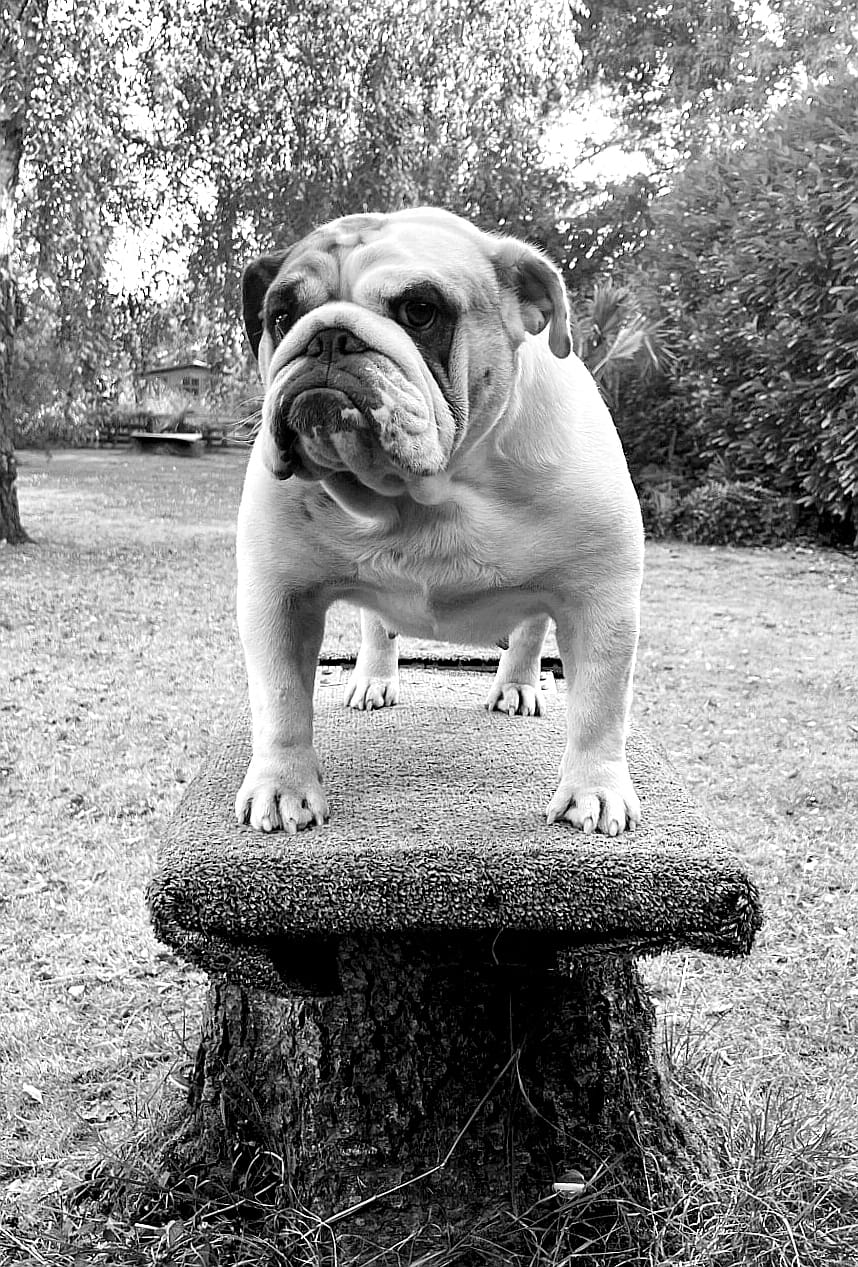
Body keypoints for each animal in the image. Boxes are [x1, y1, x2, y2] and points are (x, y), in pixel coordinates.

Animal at [235, 207, 644, 838]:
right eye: (281, 317)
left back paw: (517, 685)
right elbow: (279, 698)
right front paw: (283, 786)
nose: (329, 337)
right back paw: (374, 678)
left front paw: (594, 791)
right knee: (377, 626)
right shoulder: (277, 595)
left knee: (531, 632)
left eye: (420, 311)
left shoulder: (602, 599)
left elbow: (601, 703)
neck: (425, 492)